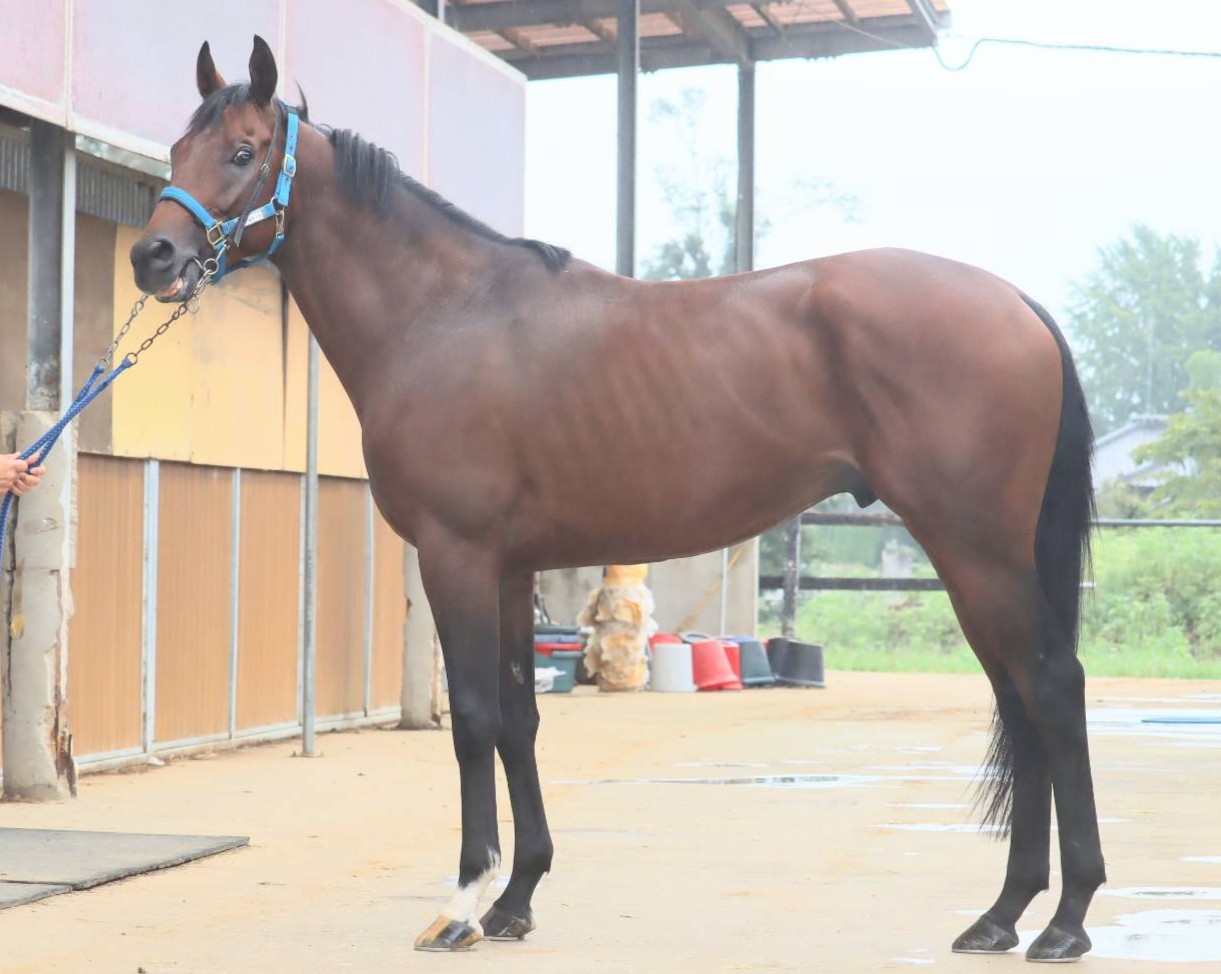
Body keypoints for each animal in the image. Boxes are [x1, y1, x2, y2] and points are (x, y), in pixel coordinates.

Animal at [129, 36, 1104, 962]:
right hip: (976, 559)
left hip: (973, 549)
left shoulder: (456, 555)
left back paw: (1063, 921)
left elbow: (473, 718)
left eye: (243, 150)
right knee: (1017, 698)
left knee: (1050, 688)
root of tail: (1015, 302)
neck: (444, 313)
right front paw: (518, 899)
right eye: (178, 146)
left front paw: (462, 906)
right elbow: (519, 718)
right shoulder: (510, 569)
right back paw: (1001, 915)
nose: (152, 255)